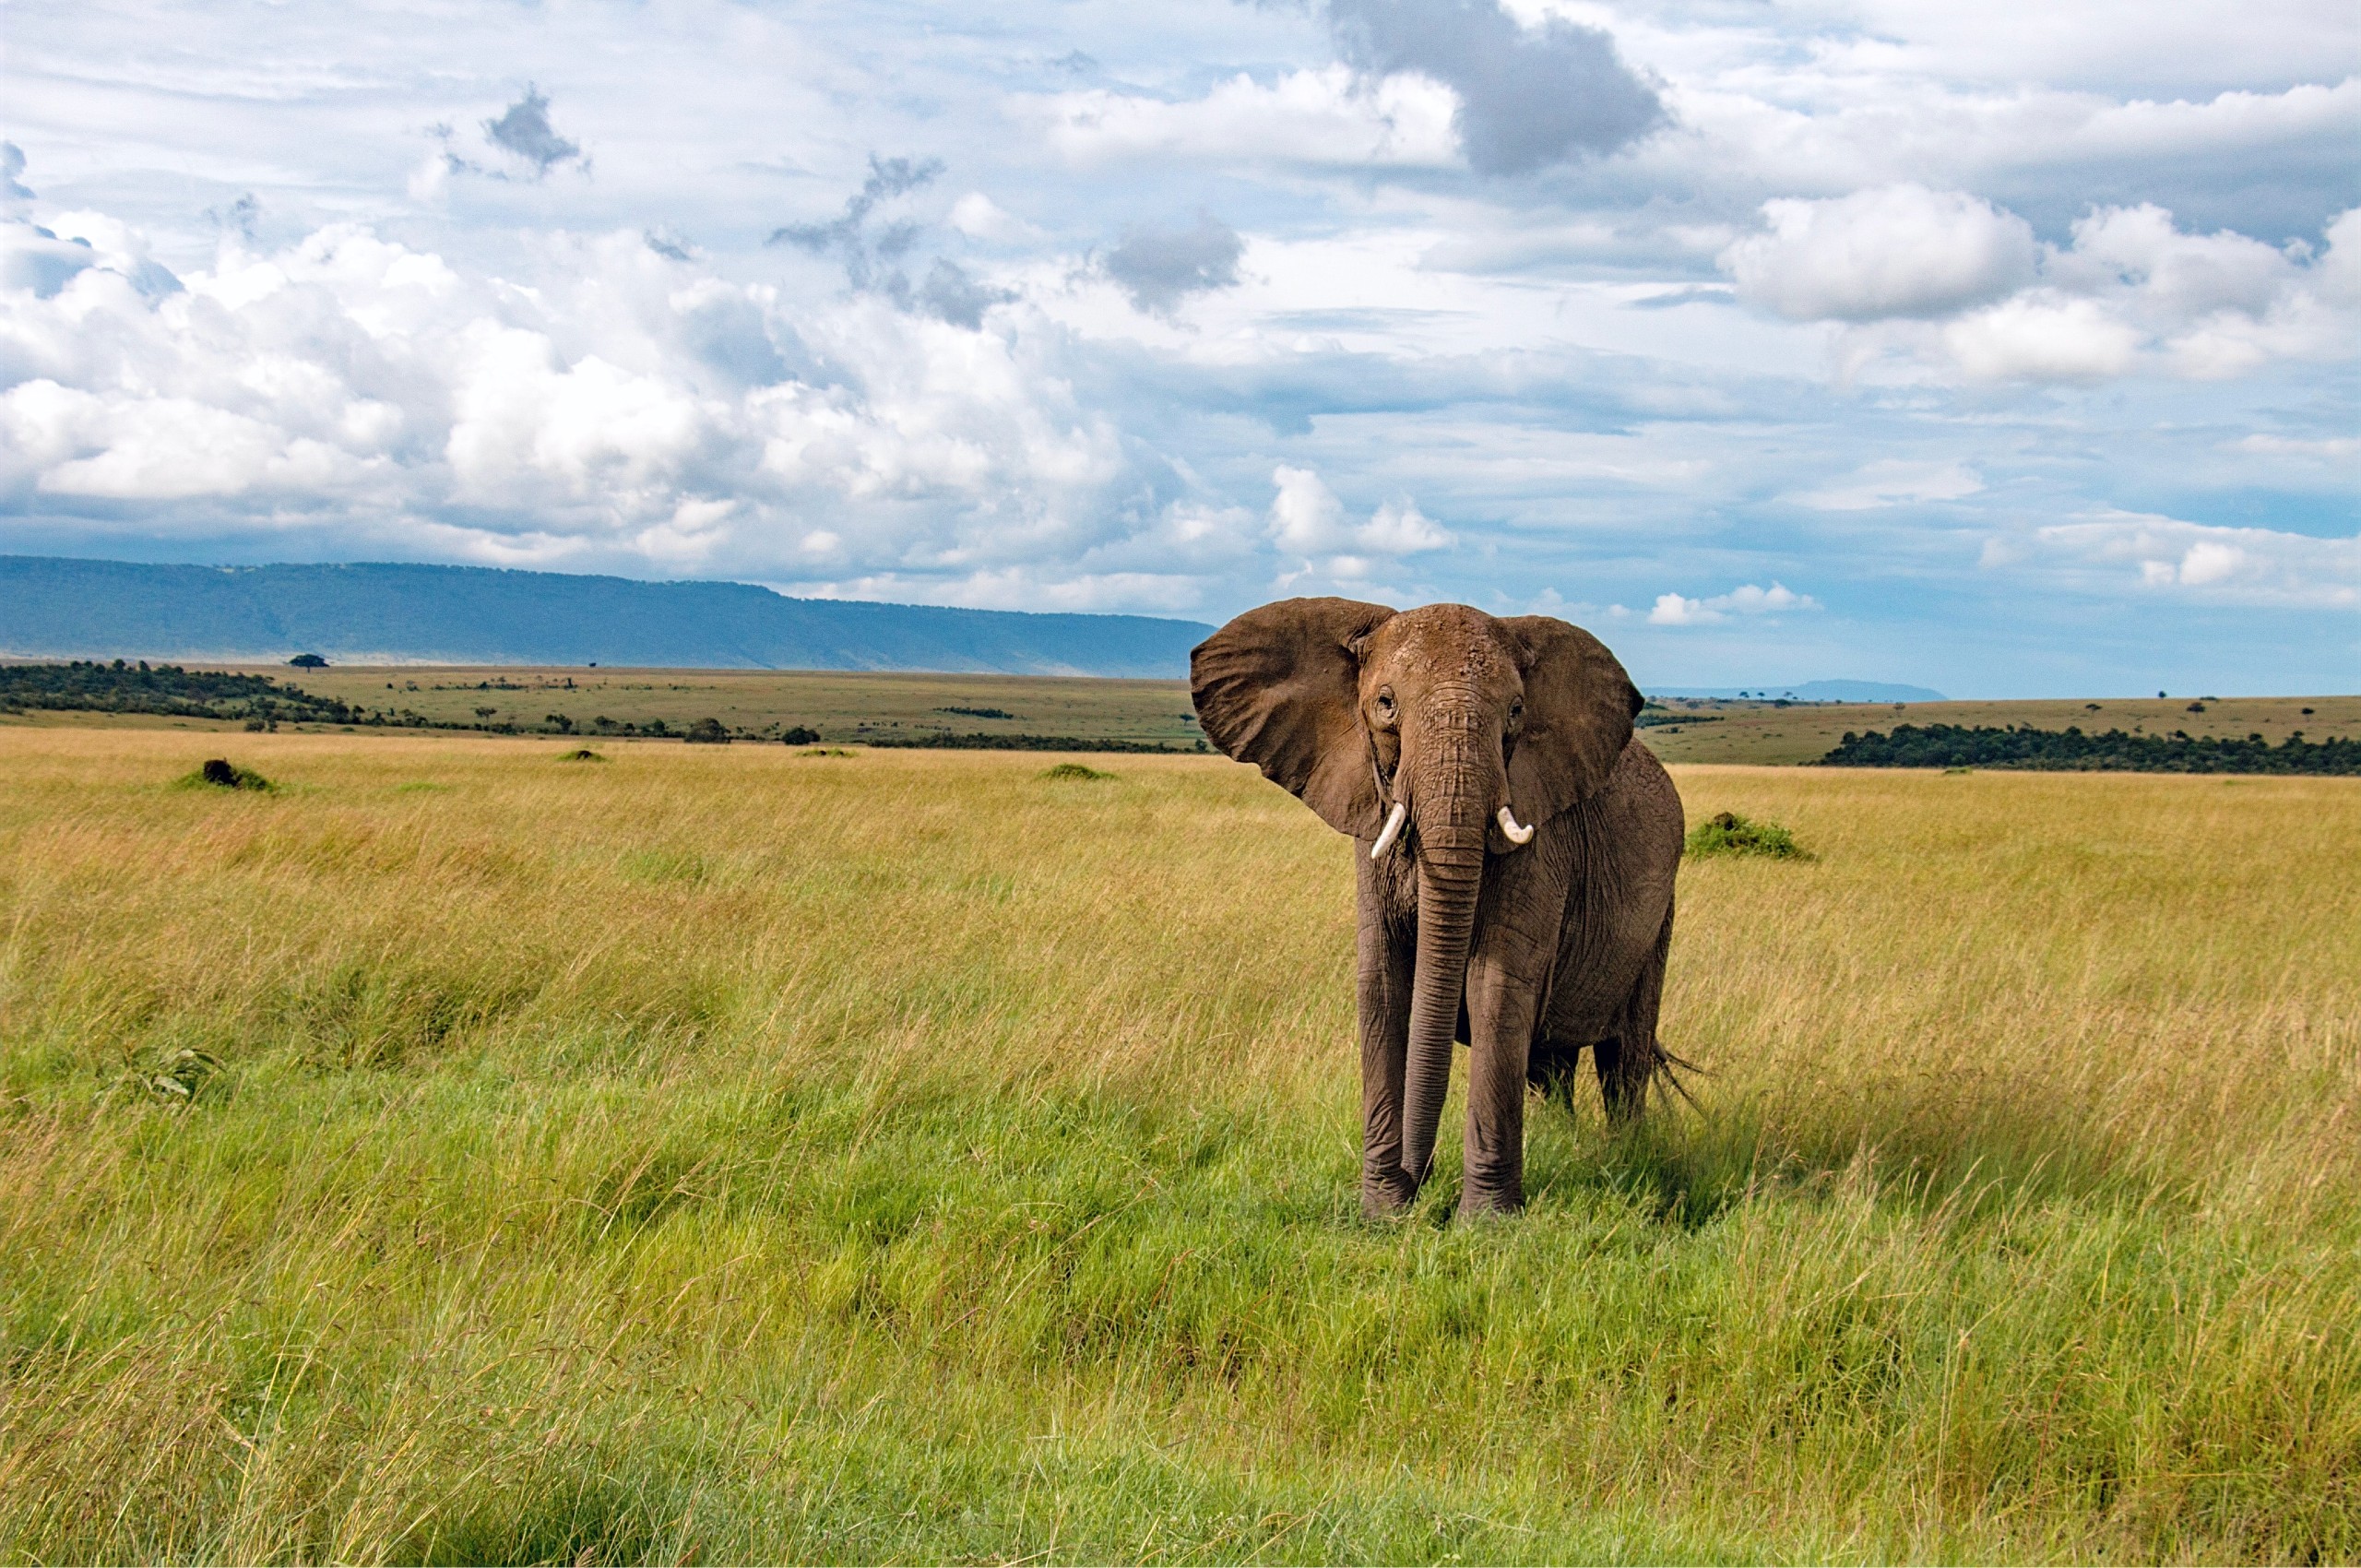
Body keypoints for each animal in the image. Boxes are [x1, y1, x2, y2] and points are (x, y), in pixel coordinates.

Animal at [1199, 595, 1680, 1218]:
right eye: (1385, 705)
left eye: (1516, 712)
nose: (1421, 1183)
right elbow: (1383, 985)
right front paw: (1384, 1213)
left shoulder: (1539, 839)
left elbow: (1496, 987)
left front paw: (1486, 1222)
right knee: (1551, 1062)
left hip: (1660, 918)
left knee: (1624, 1057)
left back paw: (1624, 1156)